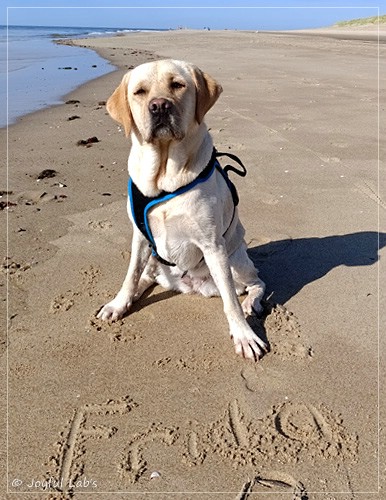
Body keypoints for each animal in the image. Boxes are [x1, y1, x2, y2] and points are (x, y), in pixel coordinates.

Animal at [99, 59, 268, 360]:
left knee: (254, 283)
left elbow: (231, 303)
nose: (159, 106)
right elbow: (130, 275)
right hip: (157, 260)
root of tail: (188, 285)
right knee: (145, 276)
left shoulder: (213, 245)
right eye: (140, 92)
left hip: (235, 259)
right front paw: (119, 303)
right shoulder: (139, 237)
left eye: (178, 85)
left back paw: (251, 302)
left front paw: (244, 335)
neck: (164, 177)